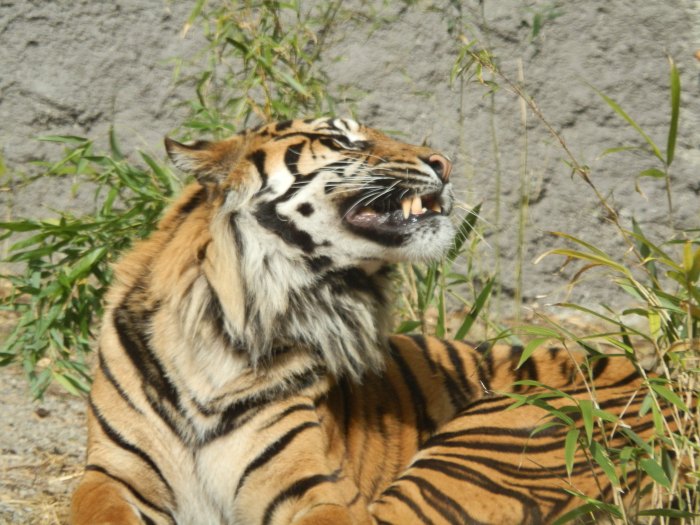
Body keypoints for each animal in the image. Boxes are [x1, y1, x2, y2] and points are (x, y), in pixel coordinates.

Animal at [71, 117, 671, 525]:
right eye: (342, 141)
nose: (444, 163)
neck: (226, 332)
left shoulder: (319, 487)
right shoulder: (113, 473)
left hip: (488, 446)